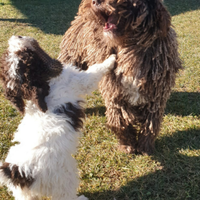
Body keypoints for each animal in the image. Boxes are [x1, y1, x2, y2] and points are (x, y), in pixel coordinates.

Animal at [0, 36, 115, 200]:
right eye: (25, 54)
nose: (17, 36)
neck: (44, 85)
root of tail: (19, 171)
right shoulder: (79, 80)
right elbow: (94, 72)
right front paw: (111, 59)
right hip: (64, 178)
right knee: (67, 194)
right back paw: (81, 198)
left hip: (23, 194)